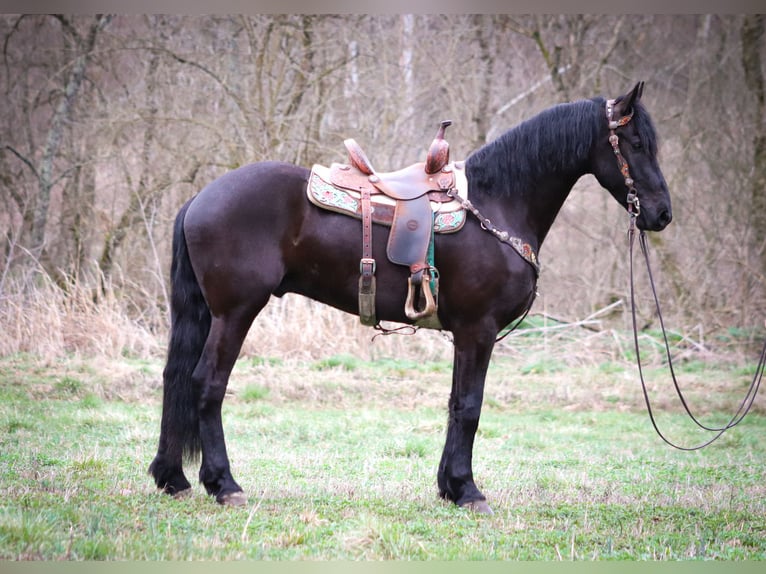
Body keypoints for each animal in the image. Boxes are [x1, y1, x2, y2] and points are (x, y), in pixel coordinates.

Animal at [150, 80, 672, 512]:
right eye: (636, 143)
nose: (662, 214)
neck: (498, 201)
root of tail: (201, 198)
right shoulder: (478, 330)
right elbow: (470, 406)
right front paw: (467, 490)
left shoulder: (466, 334)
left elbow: (456, 403)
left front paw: (449, 486)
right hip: (235, 312)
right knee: (207, 384)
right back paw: (224, 484)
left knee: (177, 380)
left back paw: (173, 477)